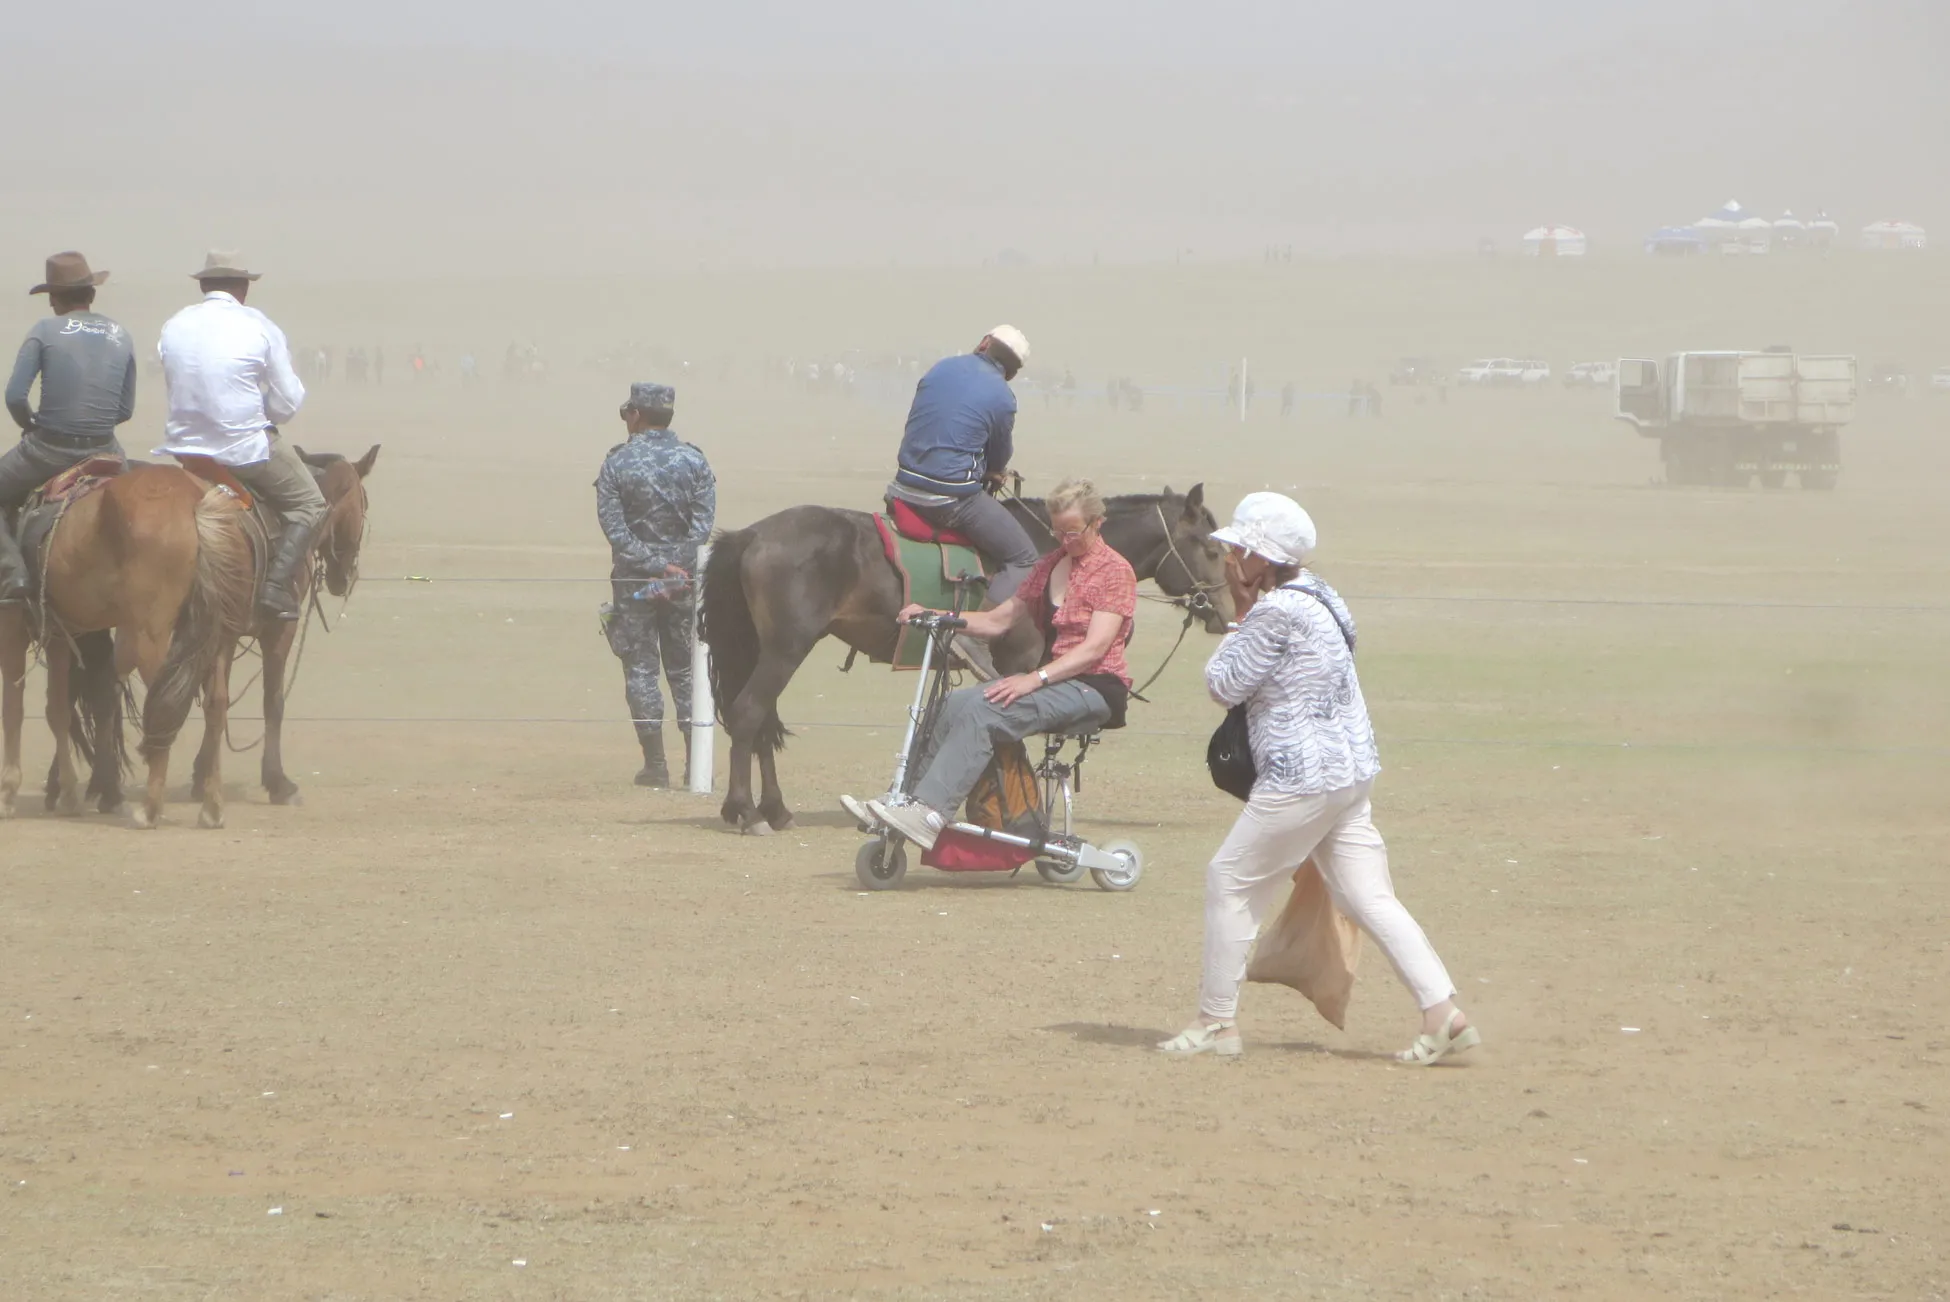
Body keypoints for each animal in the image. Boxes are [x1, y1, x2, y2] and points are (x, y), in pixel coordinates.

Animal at [0, 463, 254, 828]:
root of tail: (195, 497)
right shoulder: (60, 635)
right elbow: (57, 711)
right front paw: (68, 794)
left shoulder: (12, 628)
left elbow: (13, 710)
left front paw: (8, 793)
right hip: (220, 635)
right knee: (216, 704)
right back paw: (211, 807)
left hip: (152, 637)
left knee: (163, 704)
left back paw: (150, 808)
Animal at [189, 444, 378, 810]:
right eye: (364, 504)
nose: (345, 576)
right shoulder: (277, 631)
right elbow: (271, 701)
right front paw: (278, 782)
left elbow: (216, 699)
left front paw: (202, 773)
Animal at [701, 484, 1233, 834]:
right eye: (1209, 547)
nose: (1226, 613)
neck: (1054, 551)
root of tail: (752, 534)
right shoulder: (1017, 665)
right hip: (786, 651)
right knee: (749, 714)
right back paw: (747, 811)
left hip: (770, 651)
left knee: (762, 722)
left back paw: (774, 809)